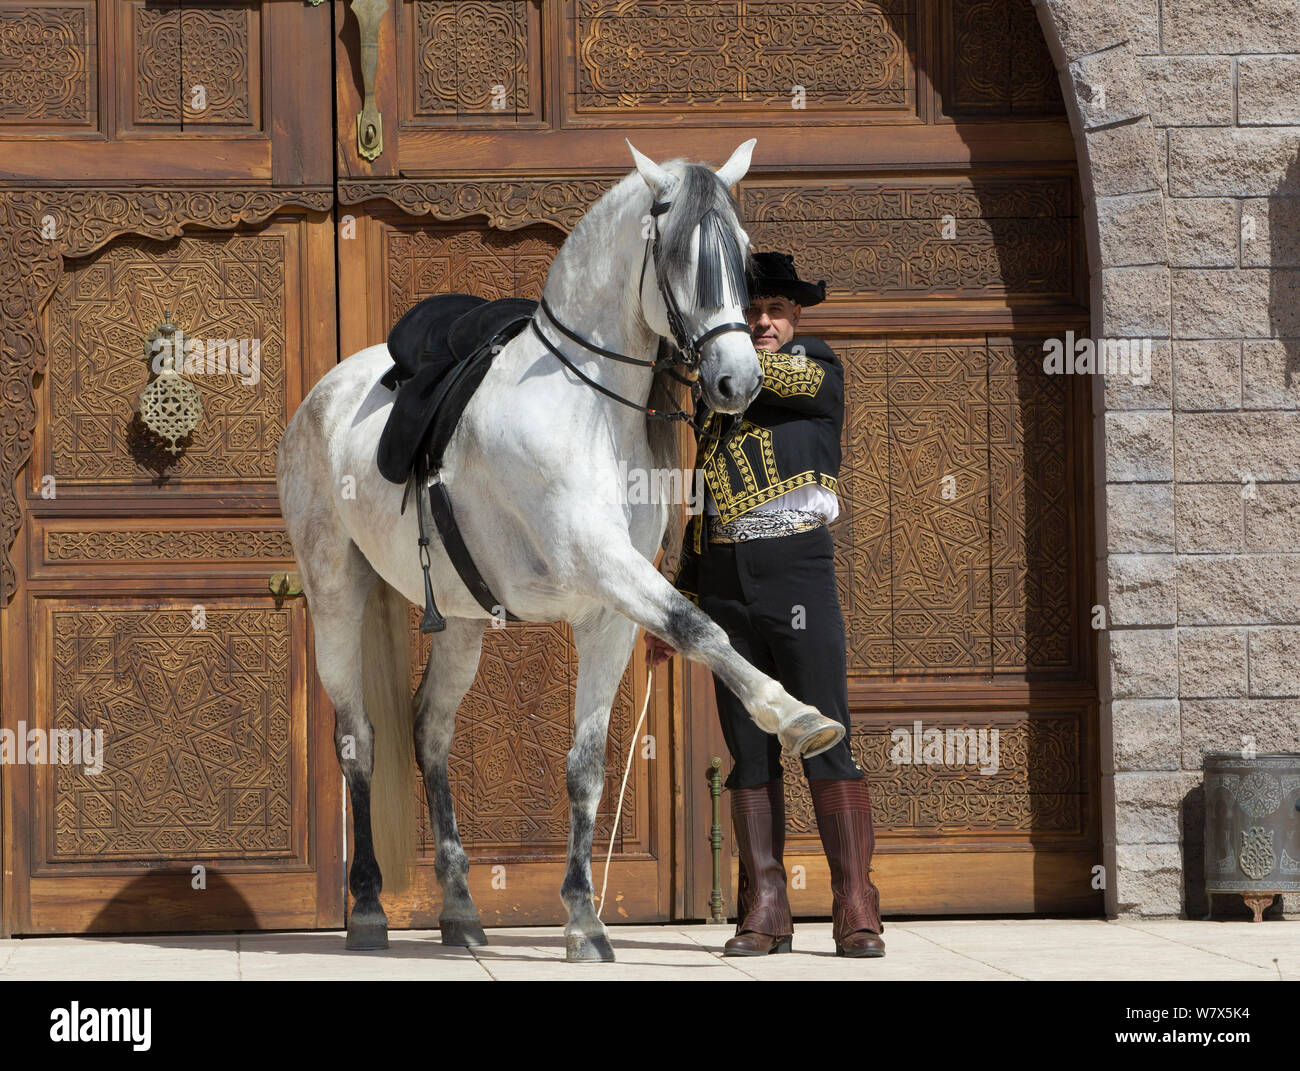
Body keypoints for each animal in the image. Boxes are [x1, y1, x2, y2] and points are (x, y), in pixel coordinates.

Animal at [275, 138, 846, 962]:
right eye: (677, 255)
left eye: (740, 254)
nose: (737, 381)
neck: (589, 405)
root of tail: (323, 396)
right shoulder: (602, 565)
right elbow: (704, 629)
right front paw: (793, 713)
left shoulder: (608, 613)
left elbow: (586, 766)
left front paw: (583, 918)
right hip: (334, 595)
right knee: (359, 740)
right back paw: (369, 908)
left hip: (463, 621)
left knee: (431, 730)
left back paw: (459, 907)